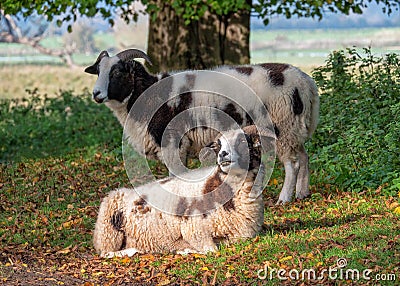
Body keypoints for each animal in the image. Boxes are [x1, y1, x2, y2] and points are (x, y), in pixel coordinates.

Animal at [84, 48, 318, 203]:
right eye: (98, 71)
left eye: (117, 72)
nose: (96, 94)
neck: (147, 95)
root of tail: (307, 84)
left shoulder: (172, 142)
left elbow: (175, 176)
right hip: (296, 128)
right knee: (304, 156)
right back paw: (302, 193)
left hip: (283, 127)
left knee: (292, 164)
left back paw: (285, 198)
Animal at [92, 126, 270, 256]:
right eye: (218, 145)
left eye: (242, 141)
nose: (222, 154)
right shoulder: (194, 228)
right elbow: (210, 250)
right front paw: (185, 249)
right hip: (108, 231)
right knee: (107, 252)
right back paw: (132, 251)